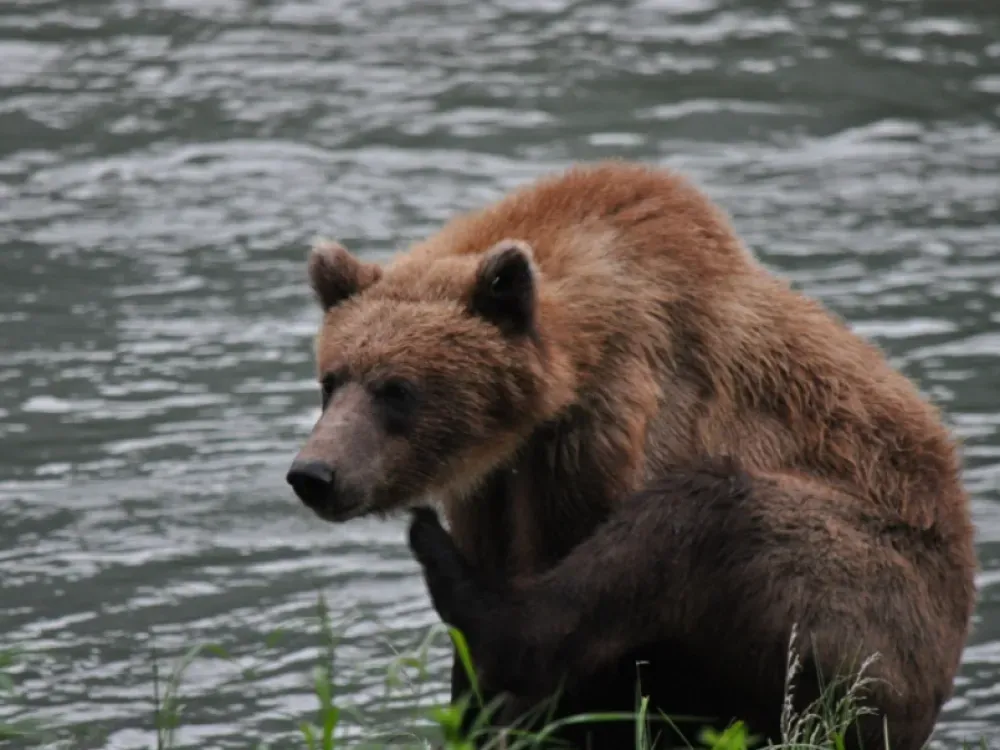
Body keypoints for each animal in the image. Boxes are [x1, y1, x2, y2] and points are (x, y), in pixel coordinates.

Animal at [286, 160, 977, 750]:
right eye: (330, 380)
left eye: (398, 389)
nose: (314, 474)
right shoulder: (493, 487)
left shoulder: (613, 427)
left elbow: (597, 612)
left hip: (878, 593)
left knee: (707, 517)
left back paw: (437, 554)